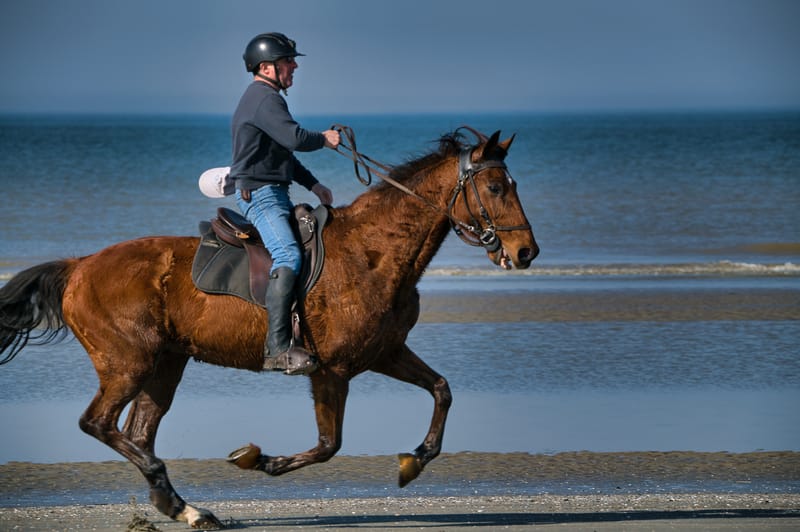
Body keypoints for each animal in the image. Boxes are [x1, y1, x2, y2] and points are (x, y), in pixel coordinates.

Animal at [0, 129, 538, 528]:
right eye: (496, 188)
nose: (526, 252)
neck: (373, 252)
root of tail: (80, 266)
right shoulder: (331, 369)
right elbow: (328, 445)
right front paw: (258, 459)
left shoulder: (385, 353)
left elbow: (442, 390)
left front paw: (415, 459)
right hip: (128, 364)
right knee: (99, 424)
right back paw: (175, 496)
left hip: (165, 365)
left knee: (137, 431)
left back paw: (183, 508)